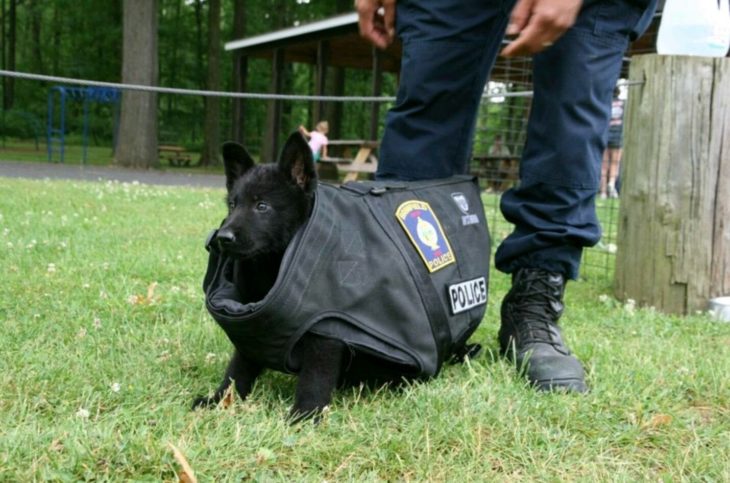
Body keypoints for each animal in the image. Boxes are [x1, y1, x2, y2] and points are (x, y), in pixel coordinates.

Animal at [192, 133, 352, 424]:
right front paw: (218, 400)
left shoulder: (326, 335)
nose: (223, 238)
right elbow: (237, 370)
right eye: (232, 204)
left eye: (262, 206)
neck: (270, 266)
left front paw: (304, 415)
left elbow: (315, 379)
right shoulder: (253, 325)